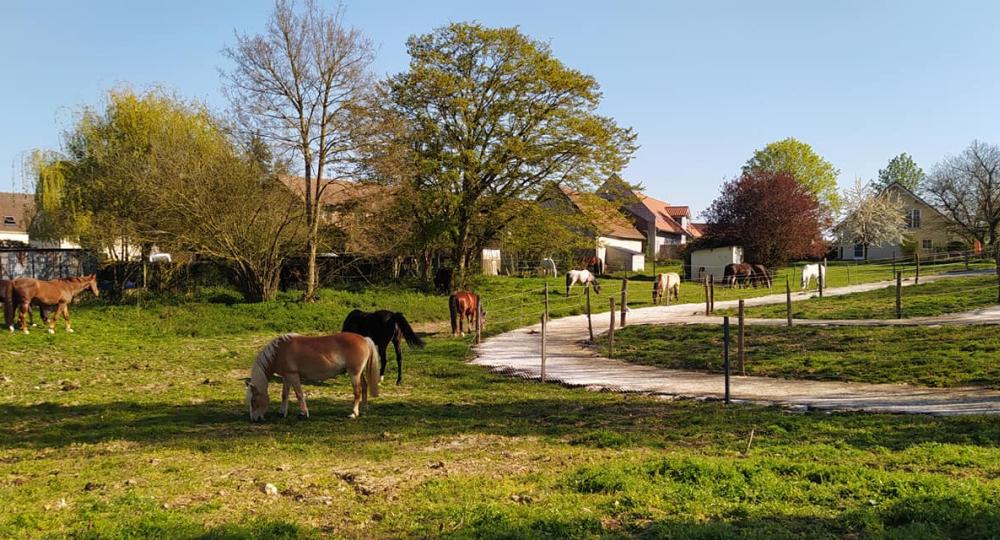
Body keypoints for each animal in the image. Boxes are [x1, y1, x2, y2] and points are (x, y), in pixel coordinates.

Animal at [244, 330, 380, 422]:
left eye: (253, 400)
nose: (254, 419)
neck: (279, 351)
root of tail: (364, 339)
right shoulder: (286, 377)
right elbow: (284, 395)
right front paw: (282, 413)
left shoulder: (293, 376)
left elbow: (299, 394)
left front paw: (303, 414)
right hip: (359, 374)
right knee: (364, 387)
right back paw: (364, 409)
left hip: (354, 374)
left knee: (357, 391)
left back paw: (353, 413)